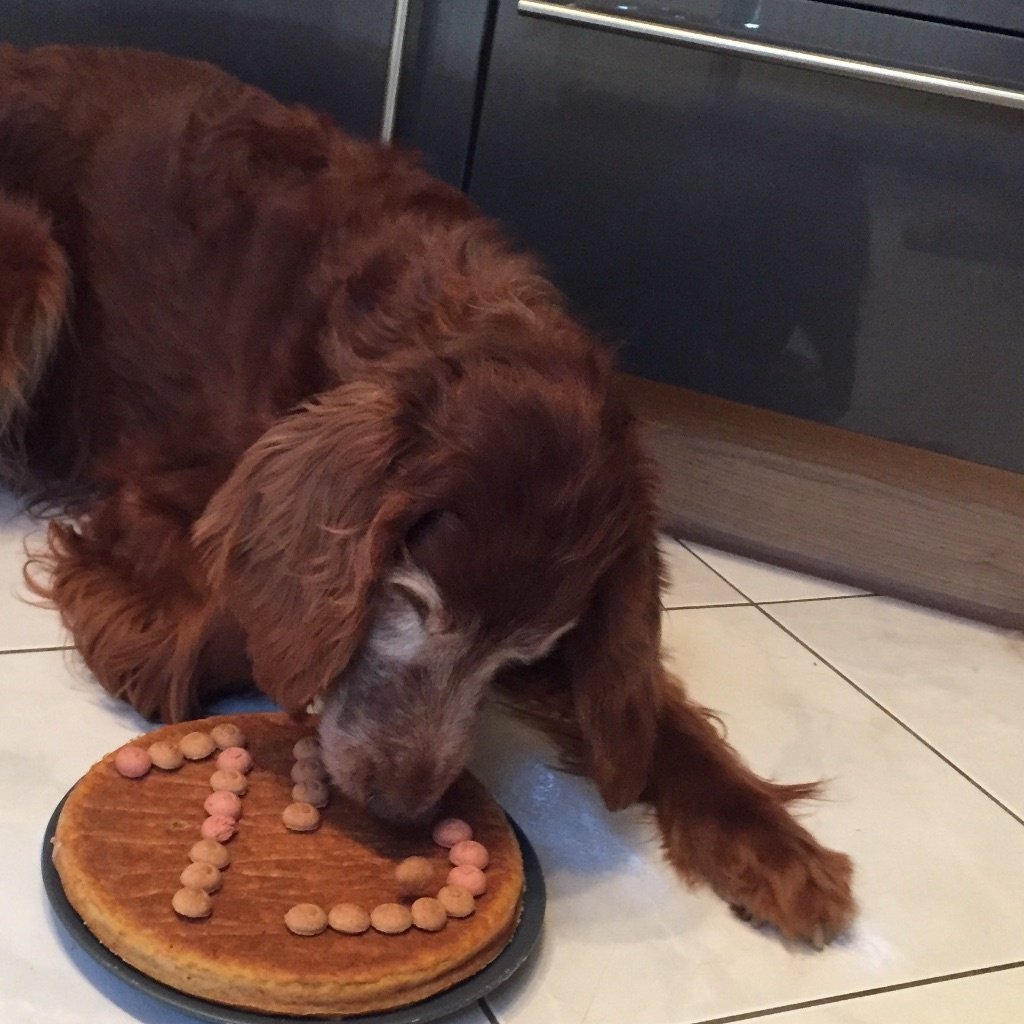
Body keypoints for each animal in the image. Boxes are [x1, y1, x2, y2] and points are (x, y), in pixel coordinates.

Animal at [0, 46, 847, 942]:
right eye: (408, 600)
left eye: (526, 649)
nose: (401, 809)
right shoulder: (155, 529)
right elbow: (198, 643)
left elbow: (643, 706)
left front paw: (769, 841)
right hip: (30, 247)